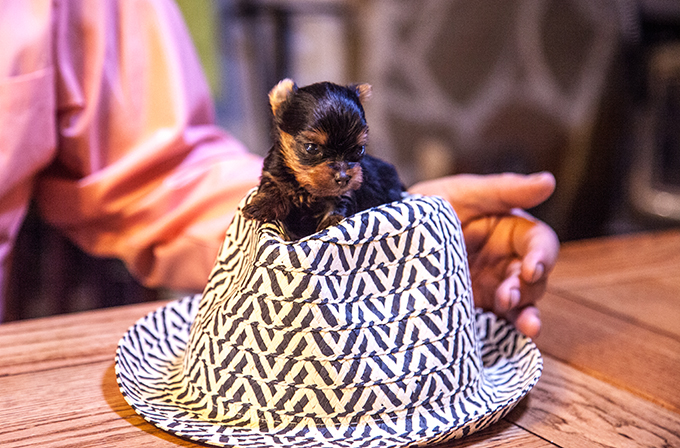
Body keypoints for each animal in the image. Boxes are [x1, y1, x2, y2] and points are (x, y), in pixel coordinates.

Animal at [242, 80, 404, 242]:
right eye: (311, 147)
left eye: (360, 149)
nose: (343, 177)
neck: (305, 189)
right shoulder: (275, 171)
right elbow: (273, 186)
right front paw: (261, 205)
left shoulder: (344, 192)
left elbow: (339, 204)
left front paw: (330, 223)